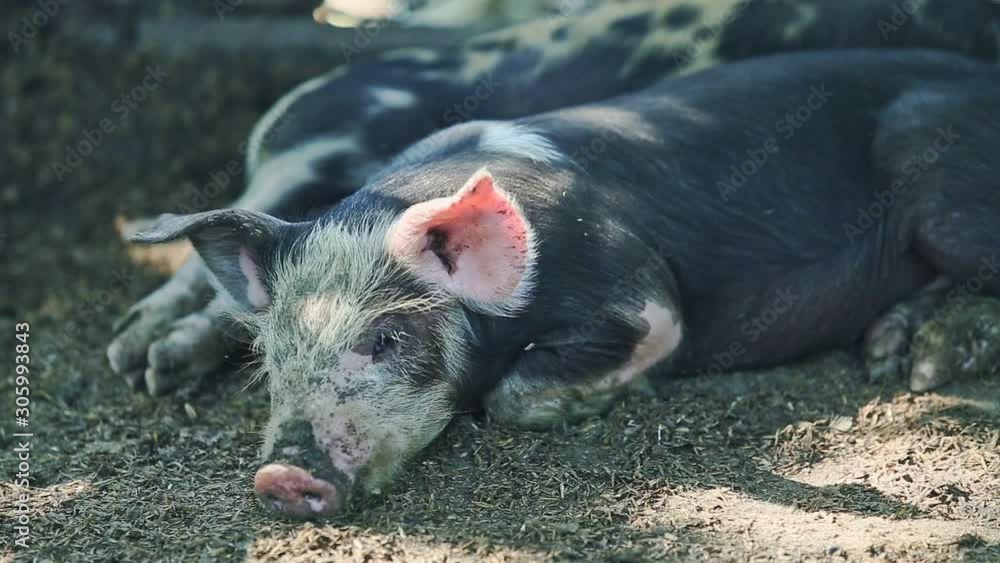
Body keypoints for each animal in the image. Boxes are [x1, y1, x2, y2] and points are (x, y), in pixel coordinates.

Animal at [128, 49, 1000, 517]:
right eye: (272, 354)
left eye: (386, 337)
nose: (281, 474)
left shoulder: (644, 297)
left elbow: (515, 392)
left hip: (942, 192)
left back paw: (911, 359)